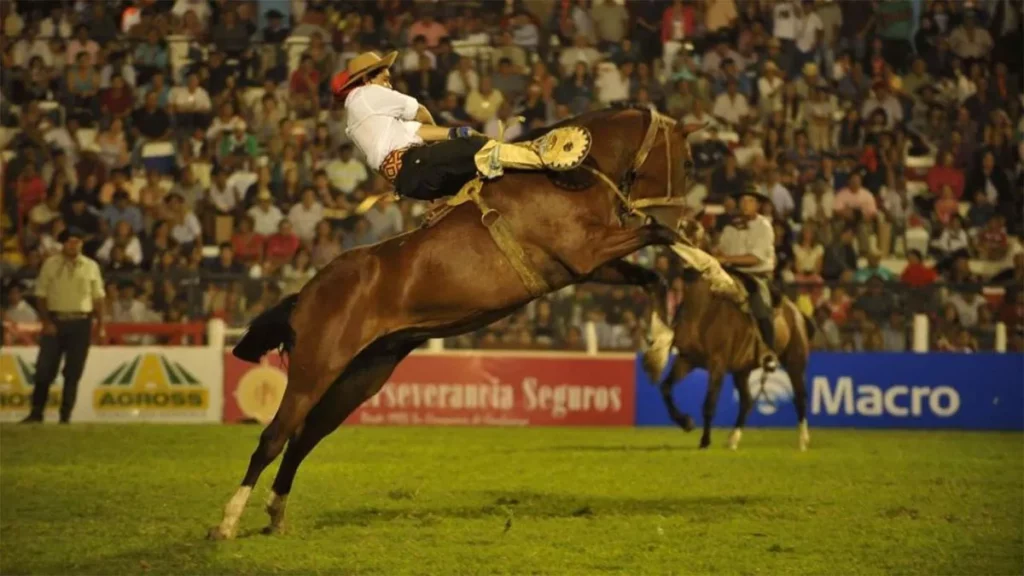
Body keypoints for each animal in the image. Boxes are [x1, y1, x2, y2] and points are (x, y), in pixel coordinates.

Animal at [210, 104, 700, 537]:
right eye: (689, 160)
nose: (686, 212)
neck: (559, 177)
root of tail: (307, 294)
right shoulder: (585, 251)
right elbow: (658, 233)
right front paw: (701, 258)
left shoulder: (586, 266)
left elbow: (654, 276)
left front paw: (659, 350)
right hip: (315, 369)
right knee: (275, 436)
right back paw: (227, 523)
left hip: (362, 374)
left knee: (304, 437)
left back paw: (275, 514)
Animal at [647, 217, 815, 450]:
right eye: (679, 229)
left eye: (698, 230)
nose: (688, 262)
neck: (703, 311)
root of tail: (797, 313)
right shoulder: (687, 359)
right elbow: (665, 388)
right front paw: (686, 422)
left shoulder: (717, 363)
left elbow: (709, 403)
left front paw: (705, 440)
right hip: (741, 371)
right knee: (746, 401)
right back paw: (733, 439)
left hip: (794, 361)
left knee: (800, 397)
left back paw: (802, 440)